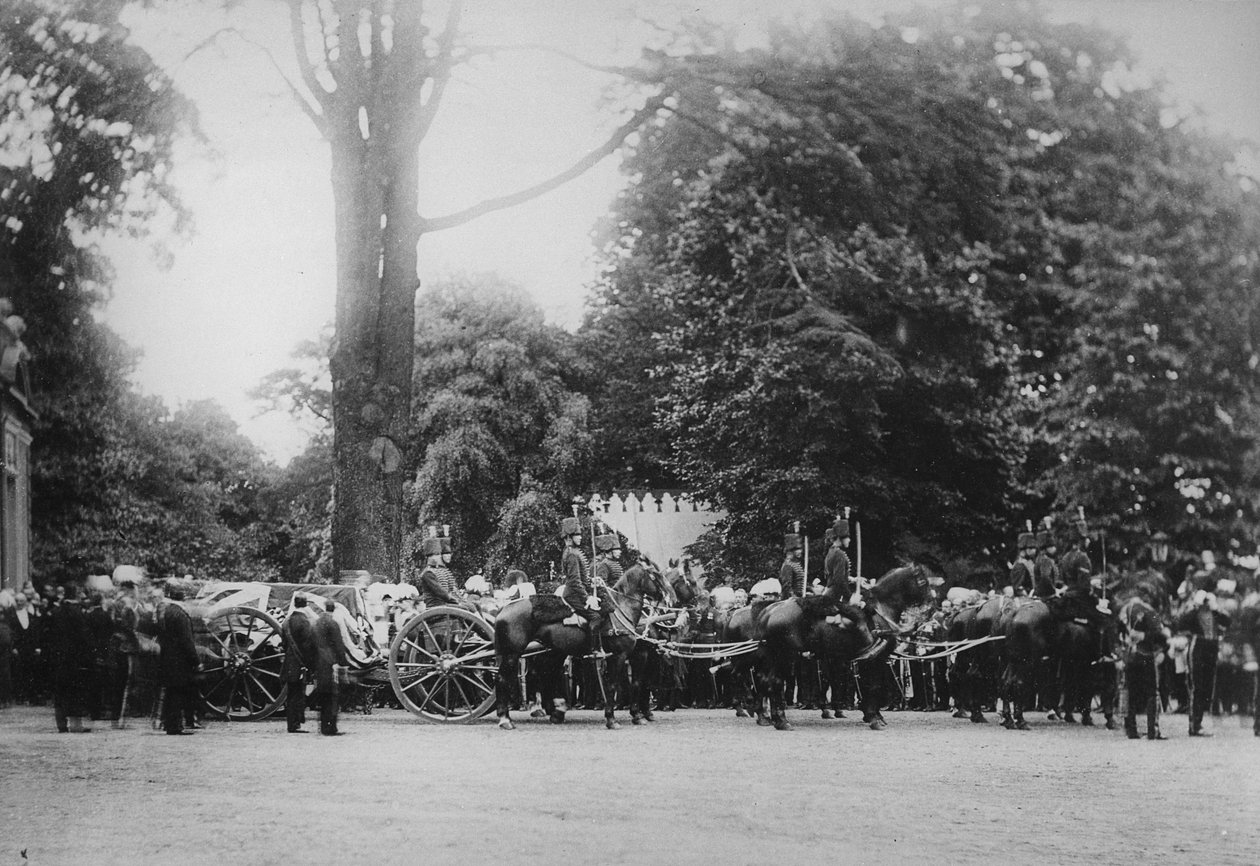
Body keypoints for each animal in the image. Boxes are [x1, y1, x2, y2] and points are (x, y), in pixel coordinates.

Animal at [491, 564, 675, 726]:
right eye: (656, 576)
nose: (671, 599)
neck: (621, 609)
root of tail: (504, 609)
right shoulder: (621, 655)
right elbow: (614, 685)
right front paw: (612, 718)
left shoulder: (639, 655)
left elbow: (637, 683)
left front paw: (637, 715)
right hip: (513, 653)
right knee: (503, 679)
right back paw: (506, 719)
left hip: (546, 652)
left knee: (541, 676)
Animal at [720, 564, 937, 726]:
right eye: (923, 582)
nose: (931, 607)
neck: (882, 609)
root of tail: (768, 611)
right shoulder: (875, 658)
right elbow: (873, 685)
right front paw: (874, 717)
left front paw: (871, 715)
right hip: (777, 656)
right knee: (761, 680)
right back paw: (771, 716)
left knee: (762, 681)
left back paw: (766, 715)